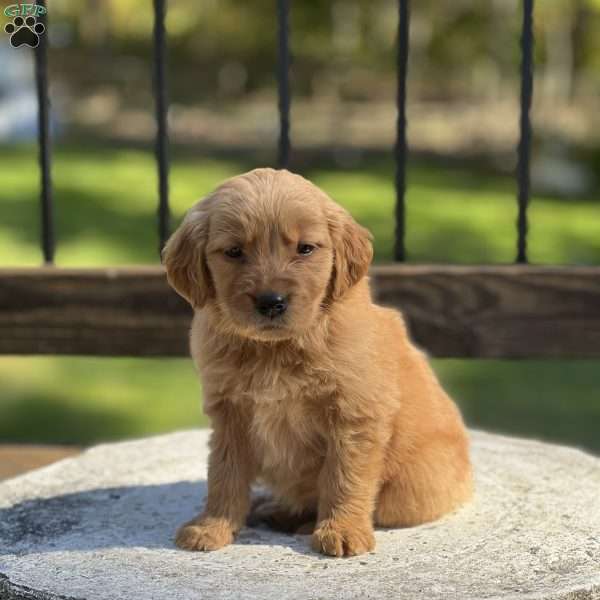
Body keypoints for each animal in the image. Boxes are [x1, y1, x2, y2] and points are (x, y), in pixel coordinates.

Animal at [164, 165, 474, 556]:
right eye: (233, 252)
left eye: (305, 249)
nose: (271, 302)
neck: (275, 350)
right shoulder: (229, 413)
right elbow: (224, 473)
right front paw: (212, 526)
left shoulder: (354, 414)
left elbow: (344, 475)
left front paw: (342, 531)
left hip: (408, 491)